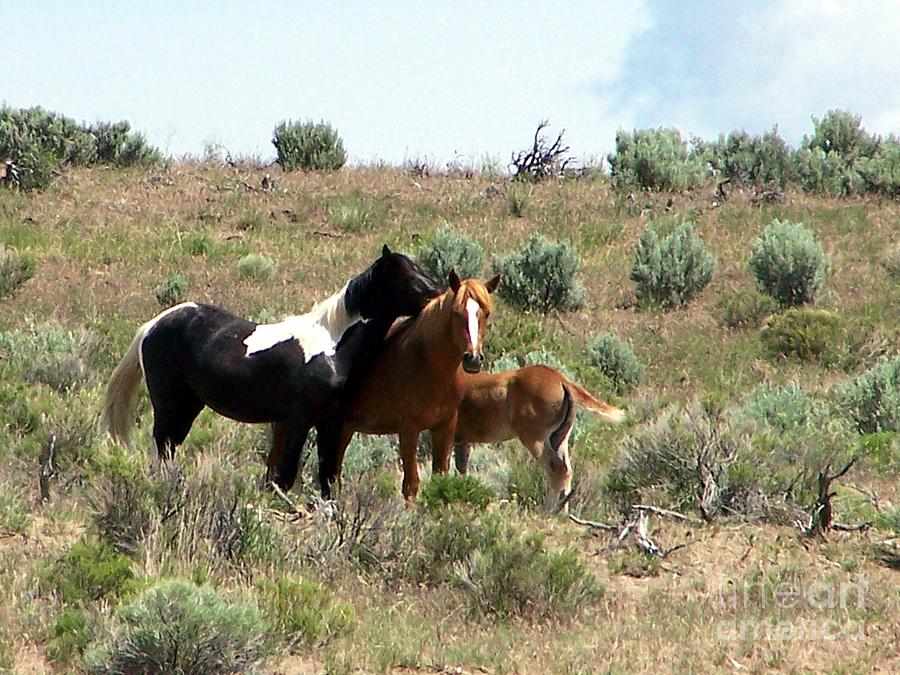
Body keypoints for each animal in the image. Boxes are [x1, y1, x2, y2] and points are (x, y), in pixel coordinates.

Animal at [104, 246, 442, 488]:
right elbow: (286, 475)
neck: (331, 344)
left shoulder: (330, 422)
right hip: (169, 405)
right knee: (161, 448)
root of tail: (153, 325)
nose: (438, 296)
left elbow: (328, 478)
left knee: (168, 449)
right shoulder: (298, 419)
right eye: (410, 277)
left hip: (189, 406)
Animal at [270, 270, 502, 502]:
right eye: (456, 312)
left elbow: (440, 479)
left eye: (486, 313)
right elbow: (411, 485)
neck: (427, 362)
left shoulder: (445, 426)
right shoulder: (408, 429)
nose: (473, 359)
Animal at [454, 368, 624, 510]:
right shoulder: (462, 441)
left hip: (535, 439)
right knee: (567, 470)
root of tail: (561, 379)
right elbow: (461, 469)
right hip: (559, 438)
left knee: (558, 468)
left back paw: (547, 511)